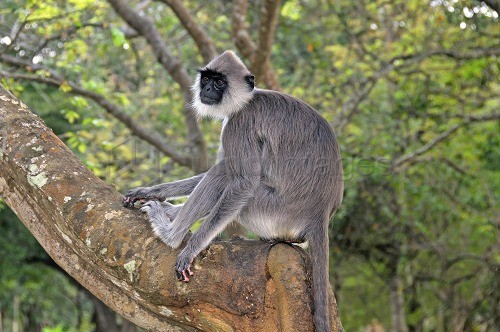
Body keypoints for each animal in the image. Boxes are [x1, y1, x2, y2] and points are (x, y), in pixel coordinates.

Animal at [123, 50, 344, 332]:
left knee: (224, 175)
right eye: (207, 78)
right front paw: (152, 192)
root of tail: (320, 212)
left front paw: (190, 247)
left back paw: (169, 234)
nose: (206, 89)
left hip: (272, 210)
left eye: (219, 82)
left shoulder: (240, 124)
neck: (246, 101)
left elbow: (242, 181)